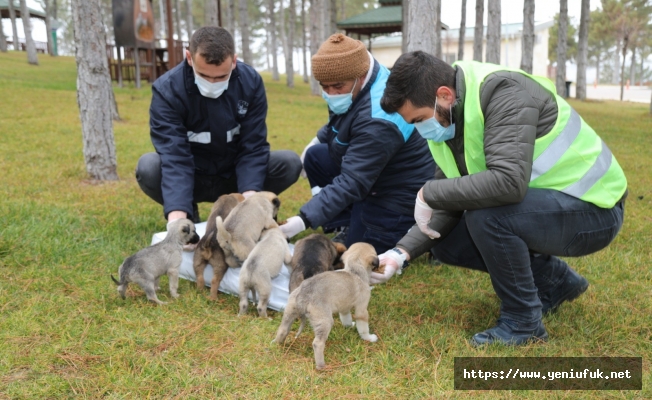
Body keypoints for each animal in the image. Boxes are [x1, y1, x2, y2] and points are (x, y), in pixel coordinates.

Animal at [272, 242, 380, 370]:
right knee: (317, 343)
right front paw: (369, 338)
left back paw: (276, 344)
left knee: (282, 330)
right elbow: (363, 328)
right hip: (324, 321)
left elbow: (346, 319)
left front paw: (349, 326)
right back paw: (321, 366)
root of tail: (303, 294)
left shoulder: (344, 308)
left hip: (289, 312)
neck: (354, 269)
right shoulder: (361, 310)